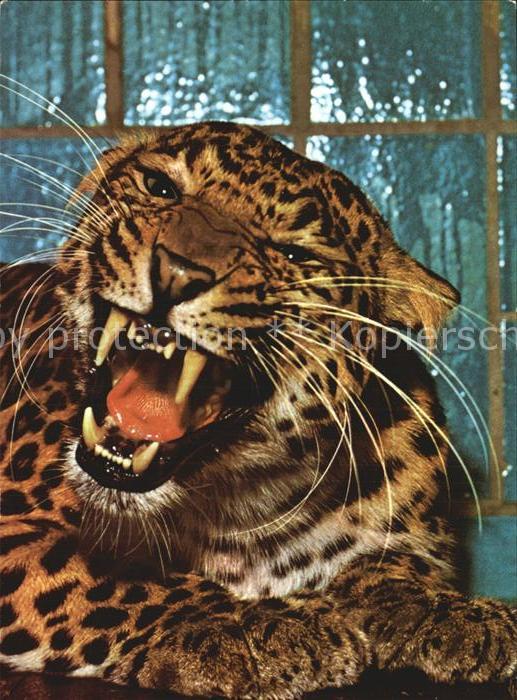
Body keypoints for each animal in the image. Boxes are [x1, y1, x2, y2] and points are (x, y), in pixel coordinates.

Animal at [0, 122, 515, 698]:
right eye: (159, 187)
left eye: (294, 257)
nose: (177, 271)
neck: (239, 514)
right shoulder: (18, 532)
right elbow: (111, 578)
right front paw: (250, 625)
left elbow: (397, 567)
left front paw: (446, 614)